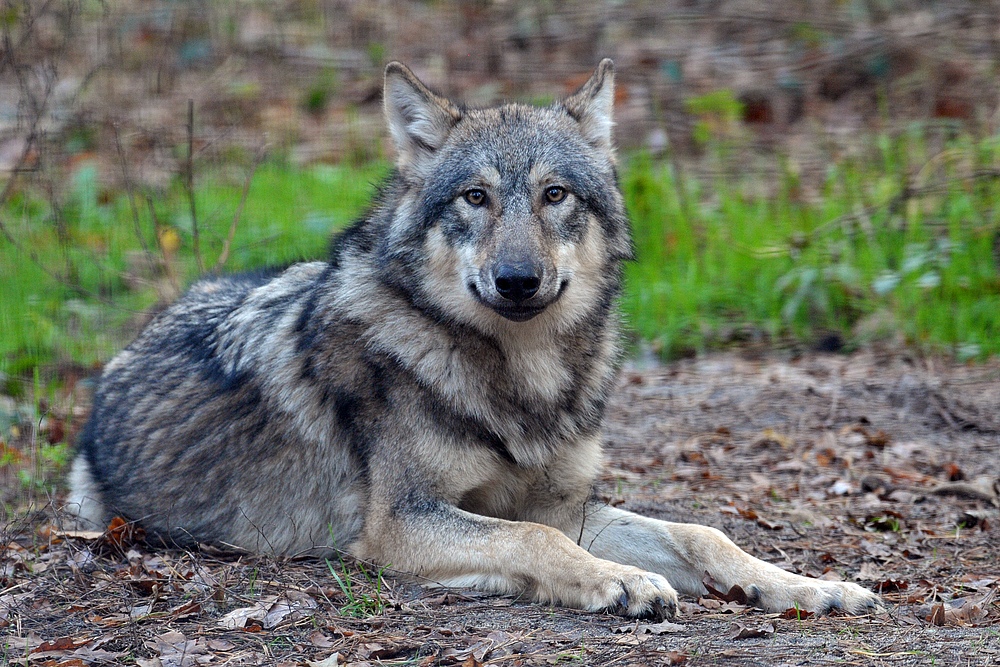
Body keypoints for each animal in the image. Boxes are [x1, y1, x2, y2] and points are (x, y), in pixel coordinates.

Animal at [68, 60, 884, 620]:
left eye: (555, 194)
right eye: (475, 197)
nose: (517, 279)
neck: (522, 383)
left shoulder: (562, 503)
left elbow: (705, 533)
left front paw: (813, 586)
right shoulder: (402, 522)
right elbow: (531, 541)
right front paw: (620, 581)